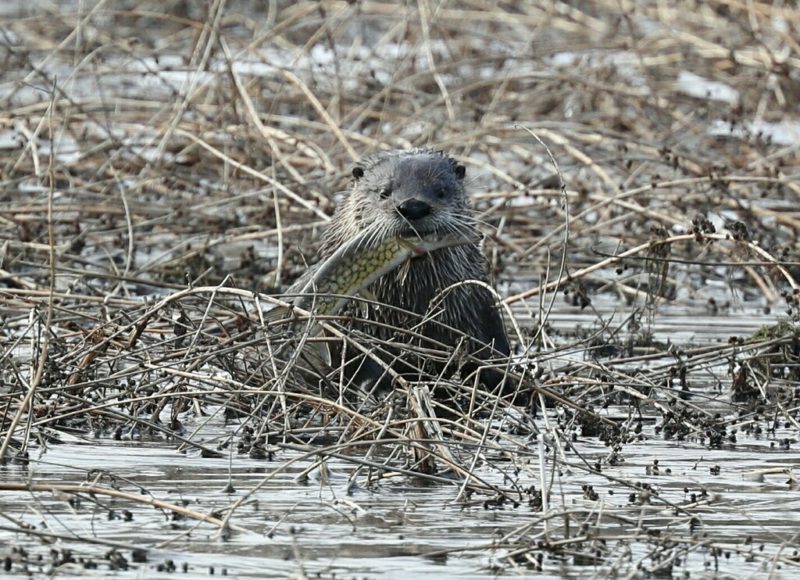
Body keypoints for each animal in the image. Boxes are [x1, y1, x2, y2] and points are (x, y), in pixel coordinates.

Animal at [296, 148, 510, 394]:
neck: (406, 309)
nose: (413, 206)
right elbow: (360, 361)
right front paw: (378, 387)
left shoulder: (479, 307)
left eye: (440, 191)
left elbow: (493, 351)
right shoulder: (347, 322)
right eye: (384, 192)